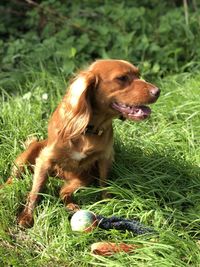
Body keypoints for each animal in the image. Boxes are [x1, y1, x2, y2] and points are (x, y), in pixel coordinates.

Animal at [3, 60, 160, 228]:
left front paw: (107, 202)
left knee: (63, 191)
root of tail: (57, 176)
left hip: (83, 178)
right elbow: (35, 191)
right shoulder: (44, 160)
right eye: (122, 78)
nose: (158, 91)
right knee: (14, 178)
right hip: (26, 157)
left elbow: (104, 183)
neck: (88, 130)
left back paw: (71, 206)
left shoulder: (105, 158)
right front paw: (26, 216)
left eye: (138, 74)